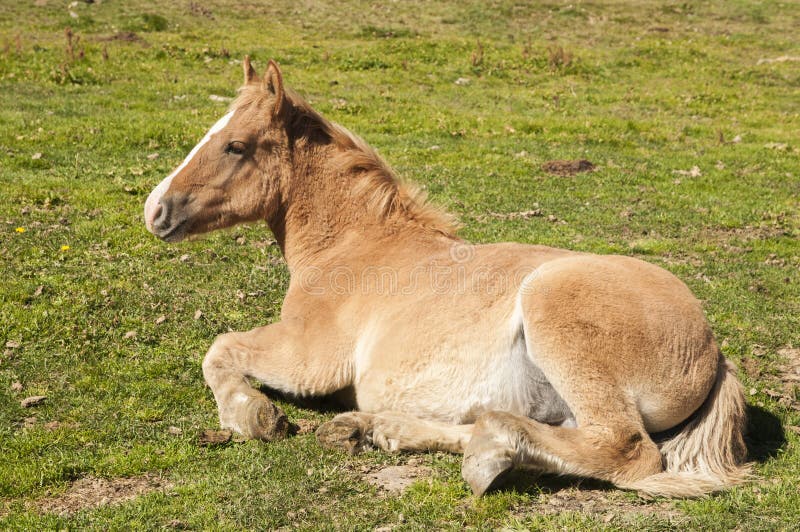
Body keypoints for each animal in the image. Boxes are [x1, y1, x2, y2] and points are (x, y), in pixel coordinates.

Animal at [144, 57, 751, 497]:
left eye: (235, 145)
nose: (156, 210)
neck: (354, 247)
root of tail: (712, 351)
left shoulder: (308, 358)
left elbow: (219, 348)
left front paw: (253, 416)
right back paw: (377, 429)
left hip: (558, 317)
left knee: (625, 450)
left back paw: (488, 454)